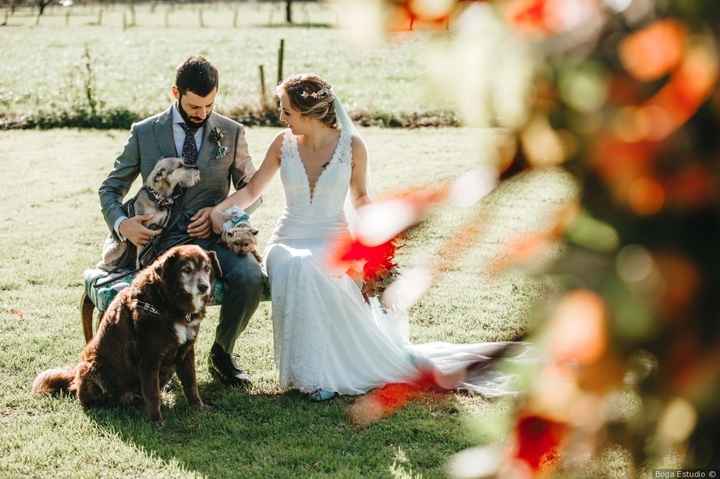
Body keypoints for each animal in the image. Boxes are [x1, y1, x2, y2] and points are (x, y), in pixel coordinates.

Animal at [31, 246, 222, 422]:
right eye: (186, 269)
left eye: (207, 268)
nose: (204, 287)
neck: (167, 303)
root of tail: (76, 374)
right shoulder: (149, 359)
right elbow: (152, 393)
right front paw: (156, 421)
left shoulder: (186, 352)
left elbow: (191, 384)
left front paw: (198, 407)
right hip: (93, 366)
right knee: (89, 398)